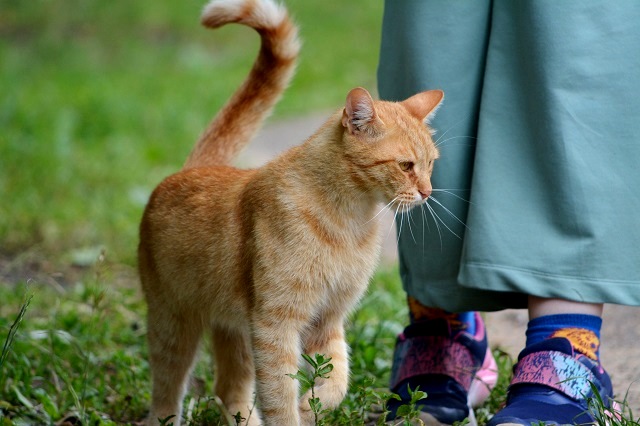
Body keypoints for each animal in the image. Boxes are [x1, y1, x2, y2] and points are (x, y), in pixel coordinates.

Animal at [138, 0, 442, 424]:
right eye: (406, 166)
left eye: (431, 164)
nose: (427, 192)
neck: (349, 222)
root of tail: (195, 168)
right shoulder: (275, 325)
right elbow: (280, 395)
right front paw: (295, 409)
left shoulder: (328, 319)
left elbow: (336, 376)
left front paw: (314, 405)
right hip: (174, 324)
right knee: (168, 392)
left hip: (235, 330)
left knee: (230, 388)